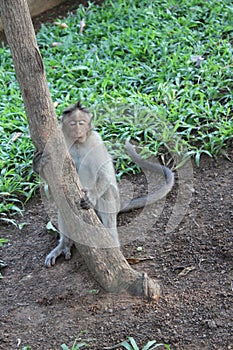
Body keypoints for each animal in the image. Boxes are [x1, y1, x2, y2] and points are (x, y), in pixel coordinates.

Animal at [33, 102, 174, 268]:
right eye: (73, 124)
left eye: (81, 123)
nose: (78, 131)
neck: (79, 143)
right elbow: (54, 180)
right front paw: (38, 164)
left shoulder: (96, 141)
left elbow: (105, 174)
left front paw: (92, 196)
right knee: (64, 204)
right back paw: (65, 244)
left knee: (107, 193)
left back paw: (111, 240)